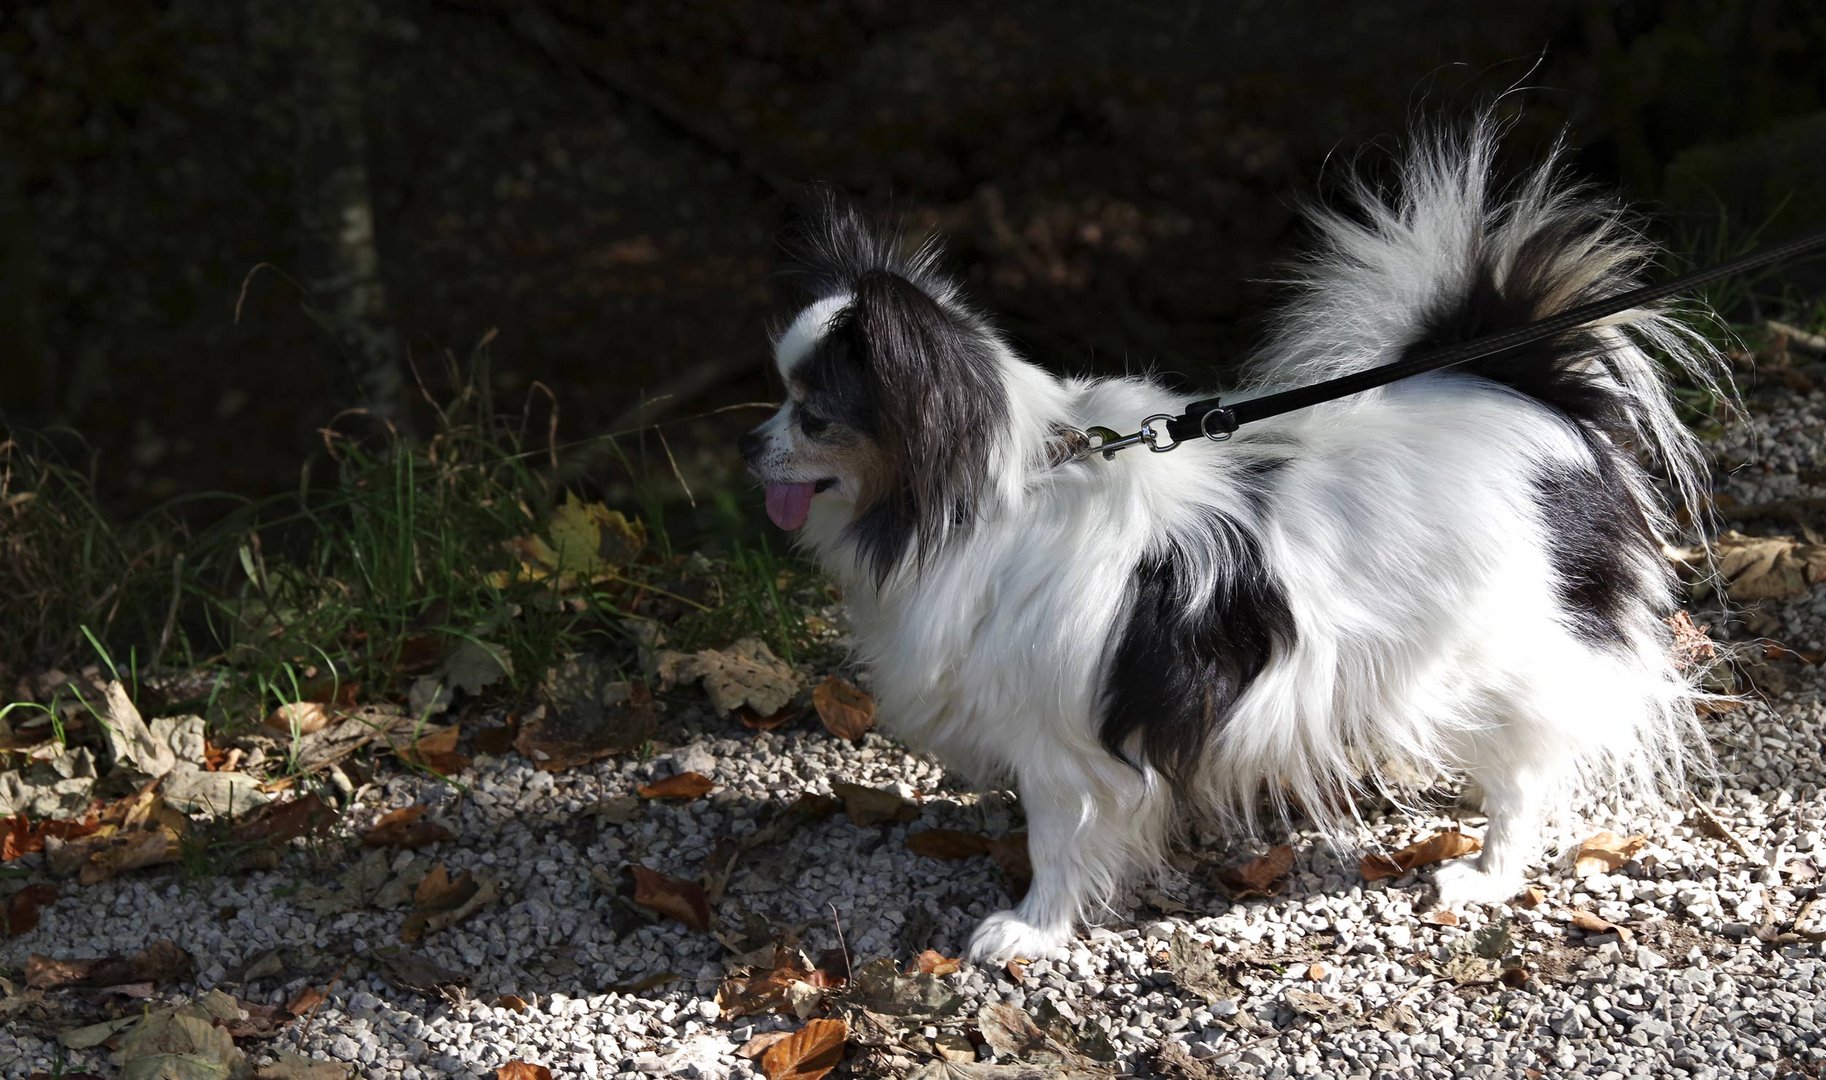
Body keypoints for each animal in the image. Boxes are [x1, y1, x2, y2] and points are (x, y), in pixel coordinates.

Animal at [737, 127, 1723, 964]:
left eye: (814, 415)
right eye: (781, 396)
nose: (748, 449)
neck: (993, 490)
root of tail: (1528, 391)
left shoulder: (1061, 738)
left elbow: (1057, 841)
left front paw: (1031, 931)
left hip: (1490, 661)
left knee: (1528, 771)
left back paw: (1484, 875)